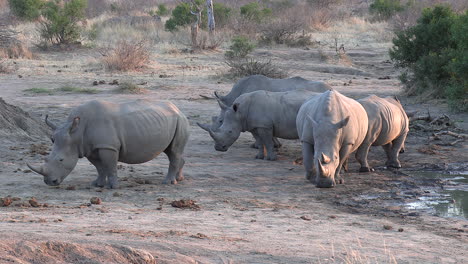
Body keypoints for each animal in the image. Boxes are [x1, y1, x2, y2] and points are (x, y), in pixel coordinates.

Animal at [27, 99, 188, 188]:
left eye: (61, 160)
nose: (49, 182)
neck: (76, 134)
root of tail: (177, 108)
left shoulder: (108, 147)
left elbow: (110, 166)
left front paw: (113, 187)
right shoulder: (89, 147)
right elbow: (99, 167)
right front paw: (97, 184)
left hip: (179, 120)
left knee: (174, 152)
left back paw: (168, 182)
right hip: (167, 120)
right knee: (172, 151)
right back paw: (179, 179)